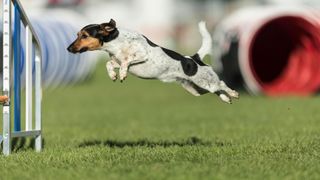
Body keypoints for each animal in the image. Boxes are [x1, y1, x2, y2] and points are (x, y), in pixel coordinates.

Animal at [67, 19, 238, 103]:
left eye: (84, 35)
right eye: (77, 34)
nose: (68, 48)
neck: (117, 43)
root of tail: (194, 59)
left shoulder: (142, 55)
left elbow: (126, 61)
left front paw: (122, 74)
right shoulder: (115, 60)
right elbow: (109, 63)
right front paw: (113, 75)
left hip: (205, 82)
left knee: (222, 84)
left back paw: (234, 93)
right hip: (196, 89)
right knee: (218, 90)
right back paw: (226, 99)